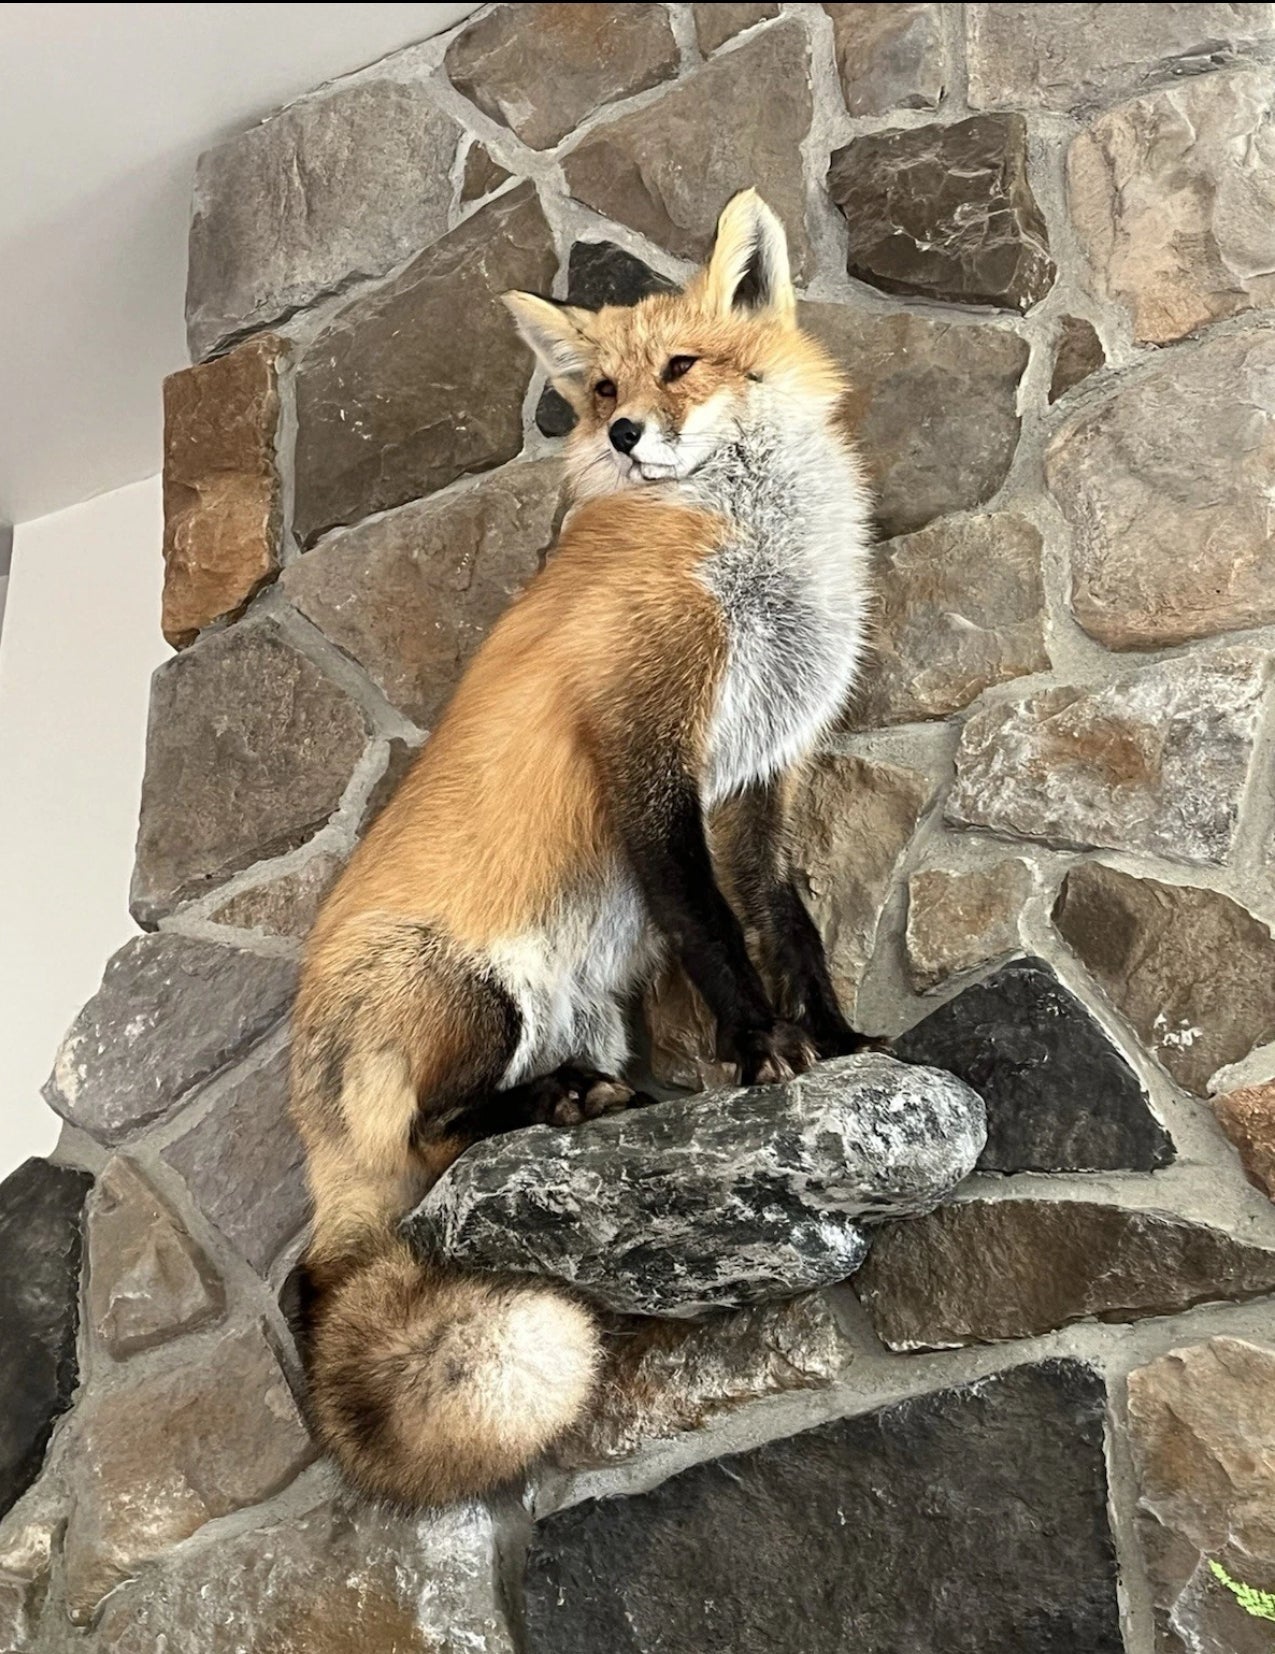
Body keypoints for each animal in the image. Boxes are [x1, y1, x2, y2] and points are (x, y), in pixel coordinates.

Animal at [290, 190, 875, 1507]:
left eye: (680, 367)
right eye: (603, 388)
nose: (621, 434)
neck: (740, 554)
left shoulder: (757, 774)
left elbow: (786, 922)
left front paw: (838, 1040)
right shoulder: (643, 750)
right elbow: (708, 927)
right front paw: (760, 1050)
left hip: (587, 1004)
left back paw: (603, 1101)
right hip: (476, 994)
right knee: (423, 1149)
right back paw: (557, 1103)